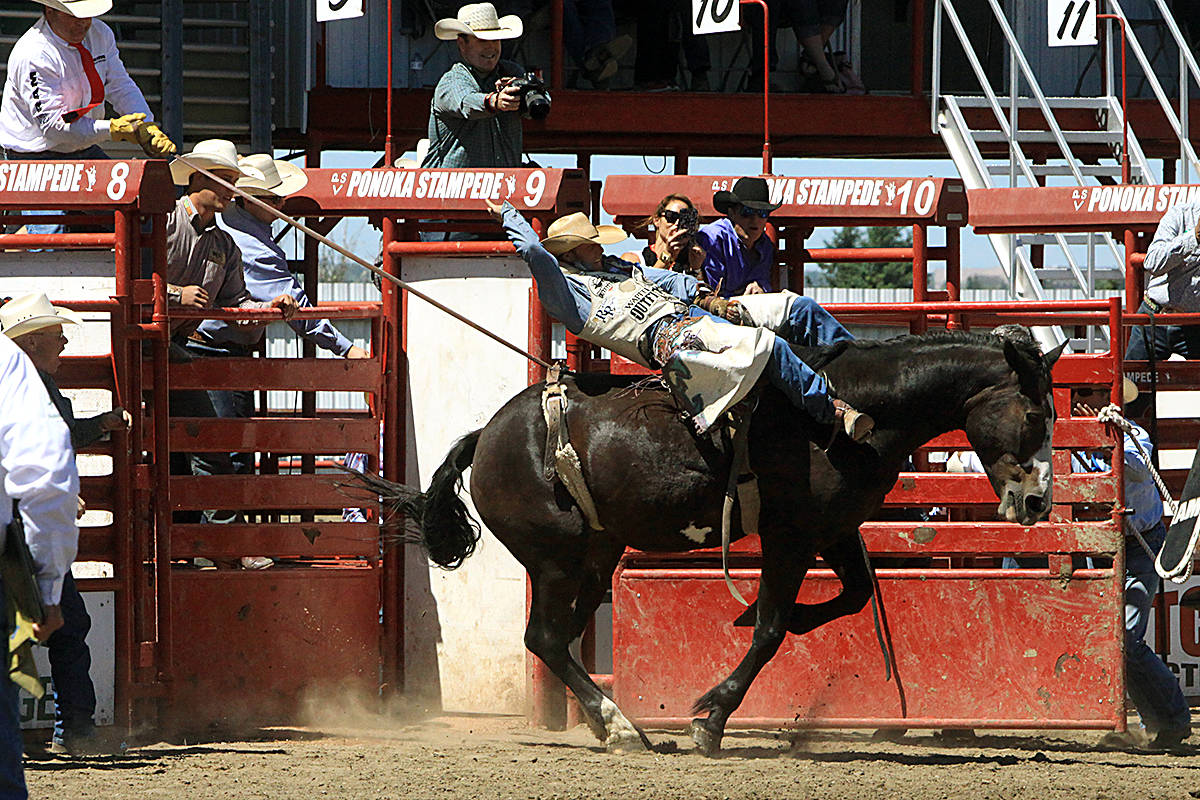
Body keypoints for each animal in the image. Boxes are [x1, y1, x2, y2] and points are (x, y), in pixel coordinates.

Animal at [352, 328, 1060, 753]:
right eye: (1034, 413)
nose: (1037, 502)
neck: (846, 410)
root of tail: (487, 436)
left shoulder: (832, 529)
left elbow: (852, 596)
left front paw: (754, 629)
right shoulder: (789, 536)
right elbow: (770, 631)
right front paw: (711, 717)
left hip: (597, 553)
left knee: (561, 636)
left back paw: (611, 721)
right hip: (553, 558)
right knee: (545, 636)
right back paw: (621, 726)